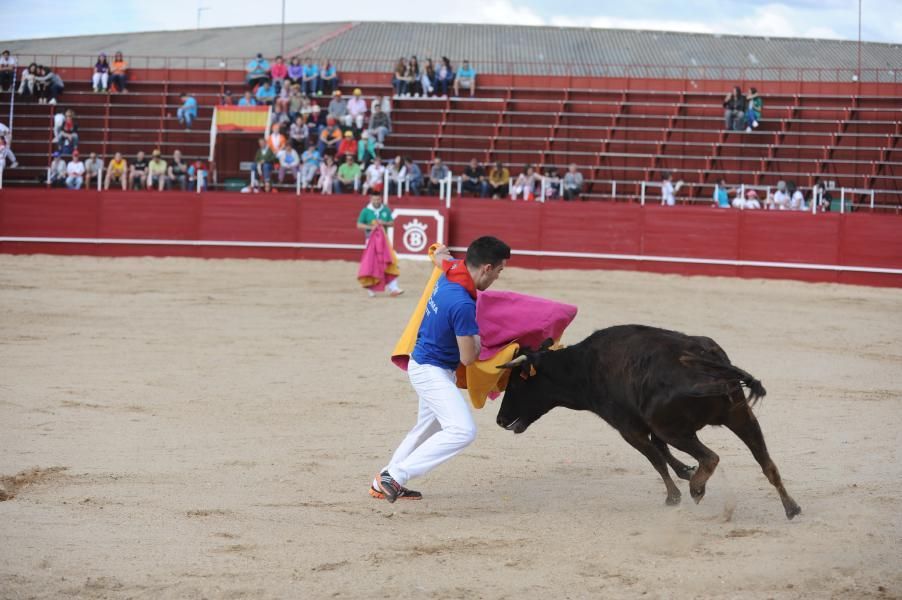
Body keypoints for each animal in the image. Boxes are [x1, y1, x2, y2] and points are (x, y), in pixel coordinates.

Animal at [498, 326, 800, 516]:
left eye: (515, 384)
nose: (500, 419)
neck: (582, 366)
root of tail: (706, 361)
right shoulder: (648, 426)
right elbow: (662, 453)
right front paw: (685, 471)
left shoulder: (630, 428)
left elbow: (656, 459)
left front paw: (673, 496)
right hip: (740, 416)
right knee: (767, 464)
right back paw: (791, 507)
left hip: (675, 428)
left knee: (711, 457)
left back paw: (697, 489)